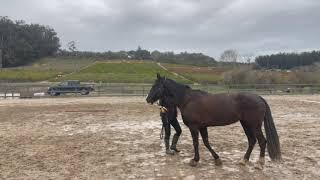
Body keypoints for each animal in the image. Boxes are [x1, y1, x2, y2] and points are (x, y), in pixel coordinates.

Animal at [146, 73, 282, 167]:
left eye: (155, 86)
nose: (147, 99)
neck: (188, 99)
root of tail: (259, 97)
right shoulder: (202, 126)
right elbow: (206, 142)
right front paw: (217, 159)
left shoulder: (194, 127)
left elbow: (196, 143)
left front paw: (195, 160)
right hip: (246, 124)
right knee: (252, 141)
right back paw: (244, 160)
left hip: (255, 125)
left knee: (262, 141)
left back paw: (260, 163)